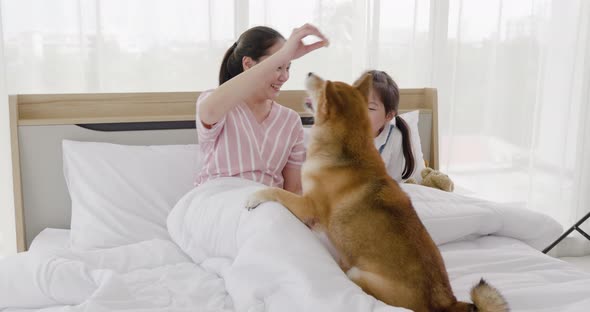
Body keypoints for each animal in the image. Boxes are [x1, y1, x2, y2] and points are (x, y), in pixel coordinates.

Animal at [245, 73, 508, 312]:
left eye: (321, 84)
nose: (309, 73)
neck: (349, 153)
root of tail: (446, 304)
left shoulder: (309, 207)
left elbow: (278, 192)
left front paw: (255, 196)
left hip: (358, 275)